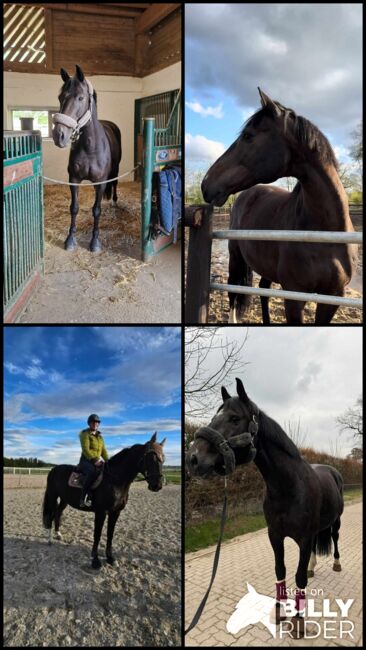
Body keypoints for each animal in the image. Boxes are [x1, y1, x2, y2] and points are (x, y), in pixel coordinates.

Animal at [42, 430, 166, 568]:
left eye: (163, 458)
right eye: (150, 458)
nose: (157, 485)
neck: (115, 479)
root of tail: (53, 469)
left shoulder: (115, 513)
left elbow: (110, 535)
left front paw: (110, 558)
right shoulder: (101, 513)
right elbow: (97, 535)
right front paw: (95, 560)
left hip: (64, 500)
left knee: (58, 513)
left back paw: (58, 534)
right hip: (52, 496)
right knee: (51, 515)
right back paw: (49, 540)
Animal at [52, 64, 121, 251]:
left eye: (81, 98)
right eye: (60, 97)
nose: (59, 135)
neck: (90, 148)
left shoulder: (101, 183)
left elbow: (96, 210)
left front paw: (95, 242)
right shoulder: (74, 179)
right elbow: (74, 208)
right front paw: (70, 239)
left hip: (116, 169)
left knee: (115, 184)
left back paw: (114, 202)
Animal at [186, 378, 344, 636]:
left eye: (234, 418)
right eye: (213, 418)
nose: (193, 459)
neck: (288, 488)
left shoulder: (303, 538)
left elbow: (299, 577)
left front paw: (298, 622)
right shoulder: (275, 535)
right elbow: (280, 570)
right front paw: (279, 613)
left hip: (336, 522)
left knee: (335, 538)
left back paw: (337, 564)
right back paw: (313, 566)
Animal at [200, 87, 358, 324]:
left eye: (248, 136)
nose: (206, 183)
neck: (325, 235)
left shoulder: (332, 298)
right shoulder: (293, 297)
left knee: (263, 290)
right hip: (235, 257)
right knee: (233, 292)